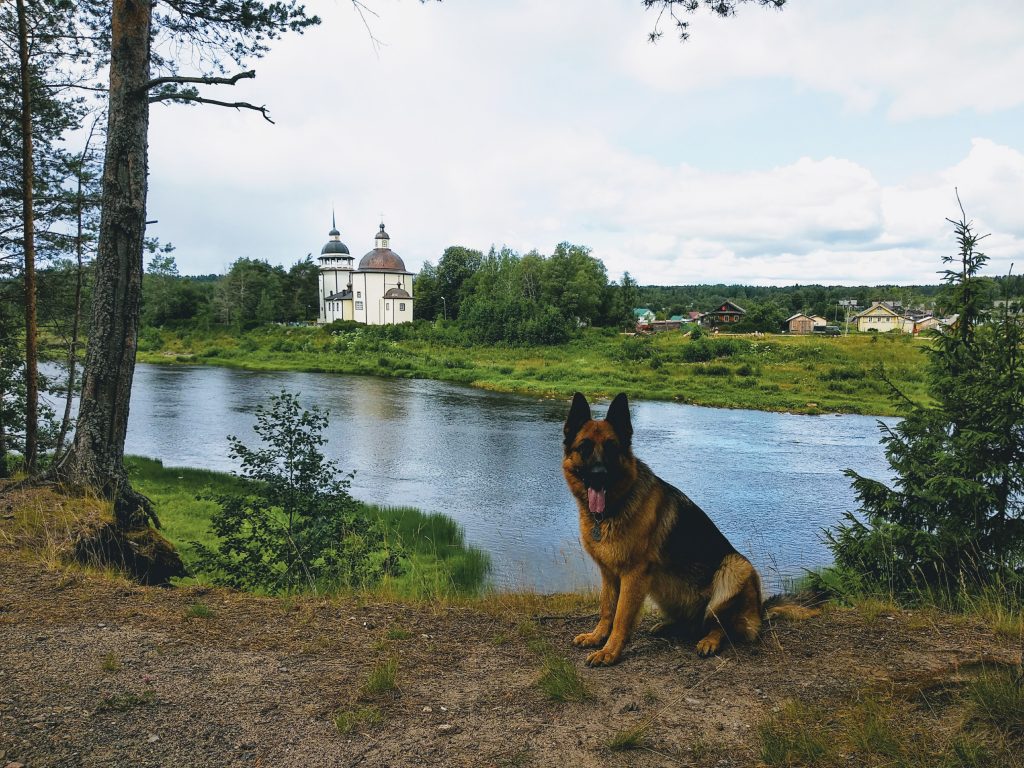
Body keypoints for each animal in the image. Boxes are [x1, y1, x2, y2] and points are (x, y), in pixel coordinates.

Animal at [565, 393, 786, 663]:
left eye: (611, 448)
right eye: (584, 448)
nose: (598, 475)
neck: (612, 510)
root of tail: (759, 612)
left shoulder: (633, 575)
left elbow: (621, 617)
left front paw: (610, 651)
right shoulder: (609, 573)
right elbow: (607, 609)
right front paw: (597, 637)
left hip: (736, 568)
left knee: (721, 625)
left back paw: (710, 640)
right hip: (666, 589)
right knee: (692, 622)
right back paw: (669, 626)